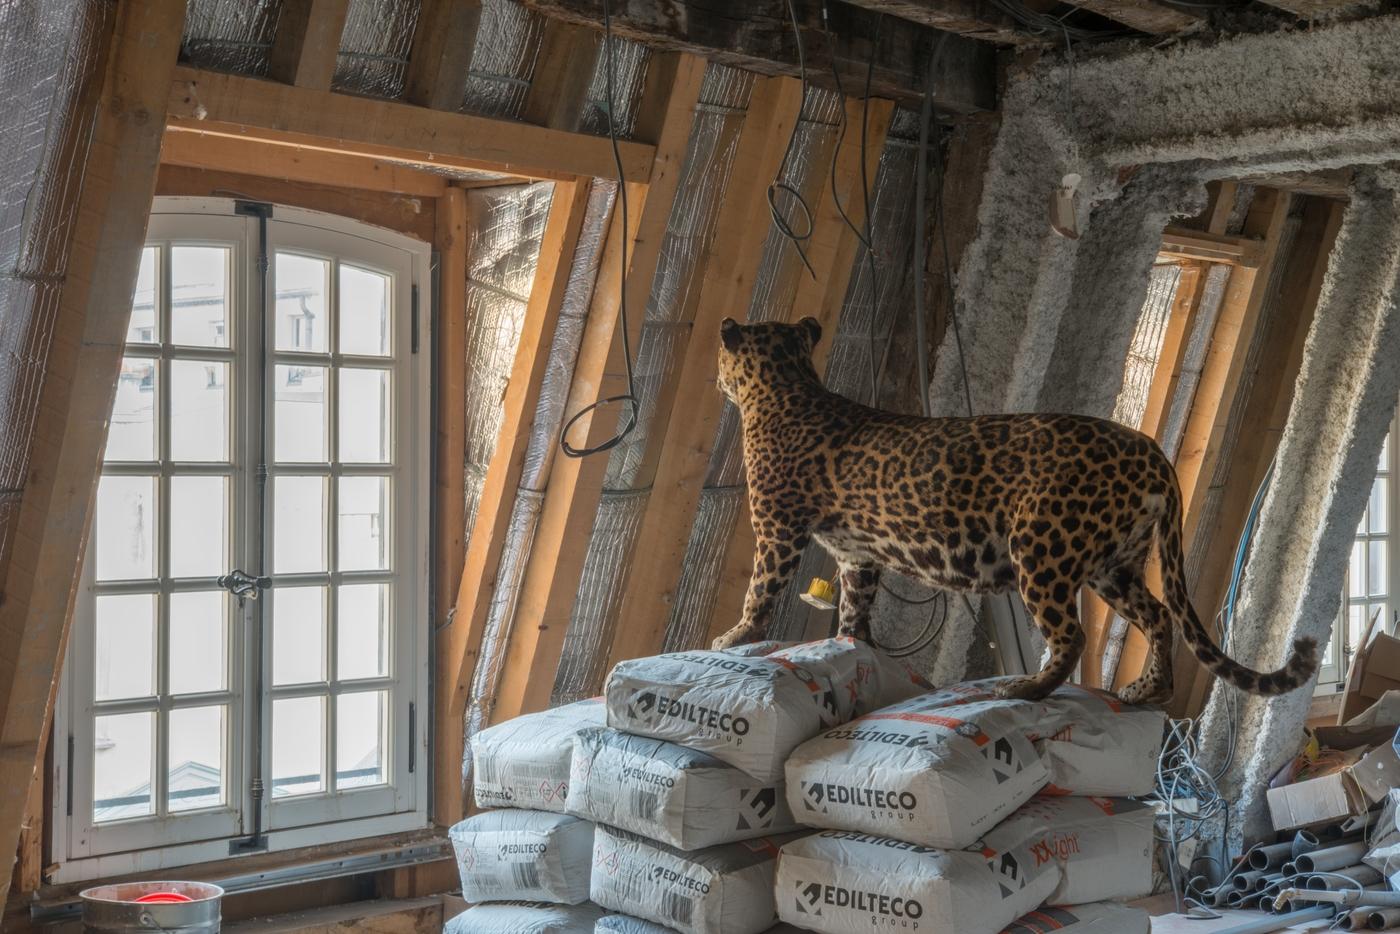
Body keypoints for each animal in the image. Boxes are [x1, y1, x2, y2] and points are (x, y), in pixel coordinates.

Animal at [716, 317, 1316, 705]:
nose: (716, 375)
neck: (784, 384)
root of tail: (1152, 452)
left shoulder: (777, 531)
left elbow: (759, 590)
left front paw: (735, 638)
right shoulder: (856, 557)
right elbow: (853, 612)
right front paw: (852, 648)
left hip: (1043, 548)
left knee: (1072, 635)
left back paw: (1028, 689)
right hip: (1114, 565)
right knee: (1158, 615)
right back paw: (1147, 690)